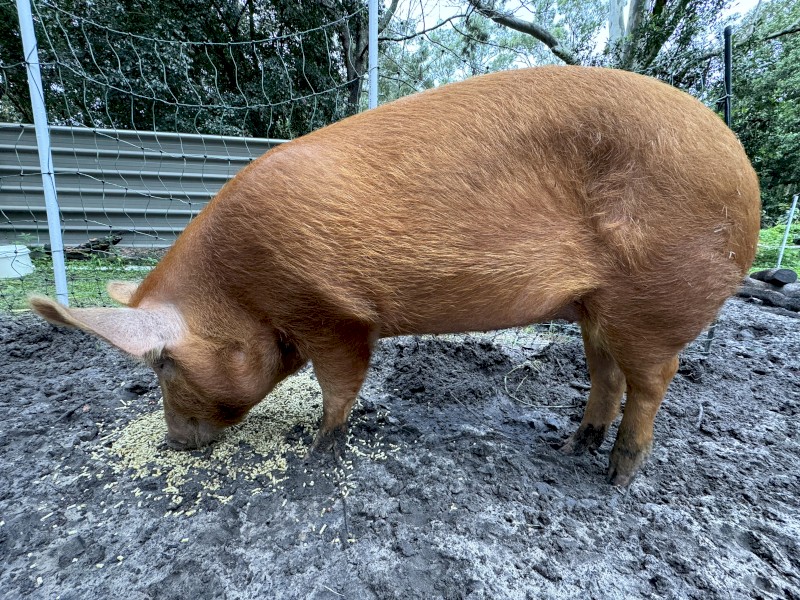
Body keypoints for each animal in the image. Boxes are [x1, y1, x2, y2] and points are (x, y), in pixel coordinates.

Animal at [30, 66, 760, 486]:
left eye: (162, 366)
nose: (174, 444)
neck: (240, 290)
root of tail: (739, 161)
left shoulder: (333, 311)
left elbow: (342, 381)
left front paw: (316, 450)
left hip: (653, 299)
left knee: (654, 381)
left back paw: (615, 478)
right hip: (594, 306)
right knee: (606, 373)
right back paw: (570, 447)